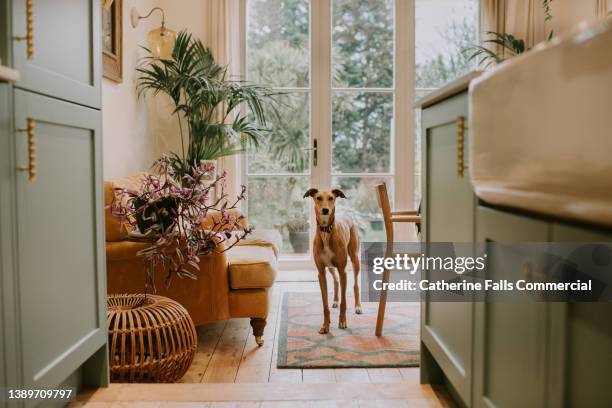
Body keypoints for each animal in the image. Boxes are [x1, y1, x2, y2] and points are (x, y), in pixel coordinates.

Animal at [304, 189, 360, 334]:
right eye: (318, 198)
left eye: (331, 198)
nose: (325, 210)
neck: (326, 231)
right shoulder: (321, 272)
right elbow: (325, 304)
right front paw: (325, 325)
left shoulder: (343, 270)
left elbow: (344, 302)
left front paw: (342, 321)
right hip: (330, 267)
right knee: (336, 281)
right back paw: (335, 300)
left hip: (355, 259)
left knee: (355, 285)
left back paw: (358, 306)